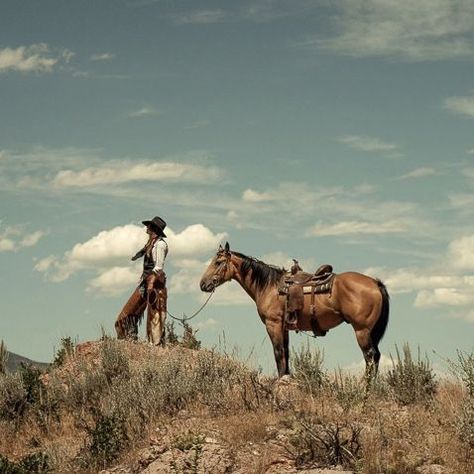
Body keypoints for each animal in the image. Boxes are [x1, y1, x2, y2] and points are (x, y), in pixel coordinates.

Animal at [199, 243, 388, 384]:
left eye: (218, 262)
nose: (203, 284)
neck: (270, 287)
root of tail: (374, 282)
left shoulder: (273, 324)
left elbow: (278, 353)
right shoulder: (284, 327)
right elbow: (286, 354)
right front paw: (286, 379)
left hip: (361, 330)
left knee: (370, 357)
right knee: (376, 357)